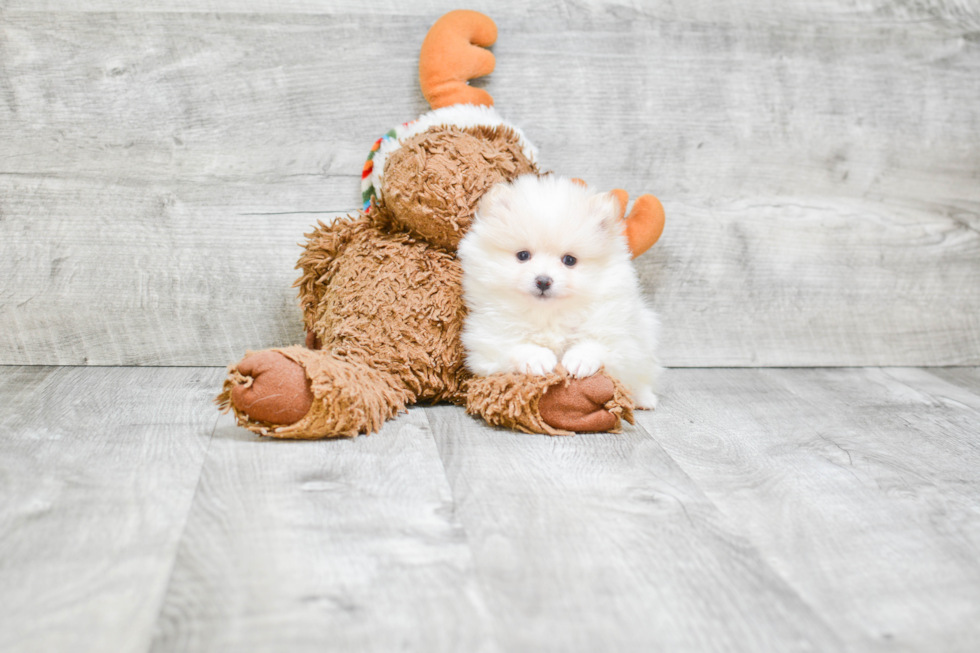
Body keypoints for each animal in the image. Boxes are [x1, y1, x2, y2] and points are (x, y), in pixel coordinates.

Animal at [458, 173, 660, 408]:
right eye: (523, 255)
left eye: (569, 260)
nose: (543, 281)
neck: (549, 314)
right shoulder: (486, 340)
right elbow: (515, 345)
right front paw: (538, 358)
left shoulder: (622, 338)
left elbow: (599, 345)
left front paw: (580, 359)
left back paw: (645, 399)